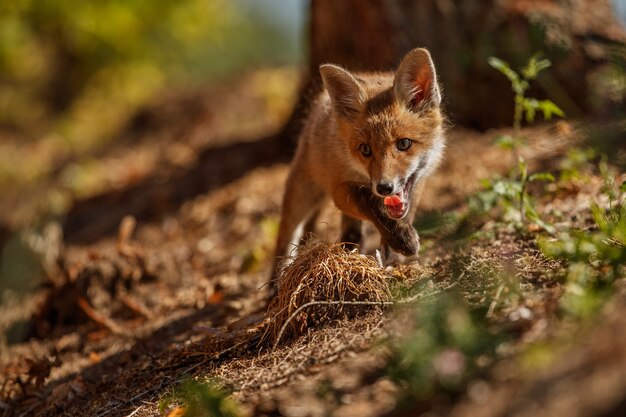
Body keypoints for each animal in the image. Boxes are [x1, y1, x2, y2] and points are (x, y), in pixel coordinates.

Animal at [272, 47, 444, 286]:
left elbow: (402, 213)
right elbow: (371, 204)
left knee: (350, 232)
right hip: (302, 194)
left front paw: (393, 249)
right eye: (365, 149)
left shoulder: (419, 181)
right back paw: (275, 284)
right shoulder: (340, 189)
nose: (384, 188)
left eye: (404, 144)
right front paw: (401, 239)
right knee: (285, 238)